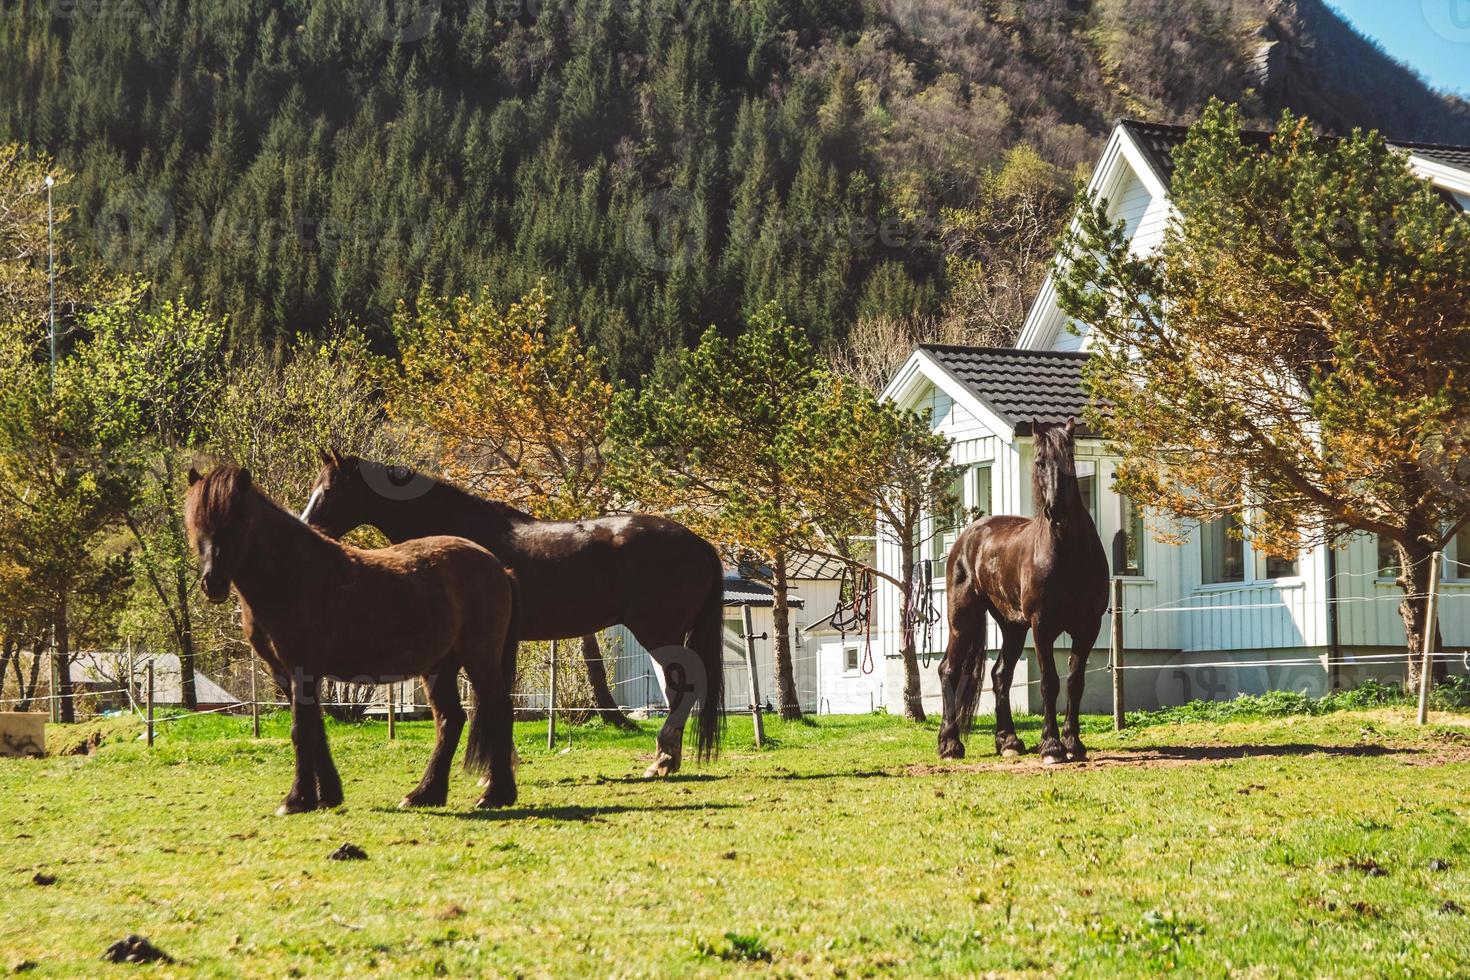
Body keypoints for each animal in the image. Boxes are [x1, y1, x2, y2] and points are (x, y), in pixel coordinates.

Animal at [186, 467, 523, 811]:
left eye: (237, 520)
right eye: (196, 523)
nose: (212, 583)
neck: (291, 574)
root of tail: (498, 566)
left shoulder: (301, 669)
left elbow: (302, 730)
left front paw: (297, 799)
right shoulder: (283, 672)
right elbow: (315, 729)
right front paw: (328, 794)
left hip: (479, 657)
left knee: (497, 710)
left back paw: (495, 794)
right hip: (440, 667)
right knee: (450, 720)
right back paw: (425, 794)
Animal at [301, 455, 726, 781]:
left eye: (329, 490)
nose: (307, 529)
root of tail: (699, 543)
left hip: (659, 633)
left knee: (684, 690)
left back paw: (663, 761)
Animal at [934, 417, 1105, 764]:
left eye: (1070, 459)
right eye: (1039, 461)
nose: (1056, 510)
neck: (1069, 555)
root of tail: (966, 538)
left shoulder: (1088, 627)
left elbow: (1075, 682)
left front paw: (1073, 743)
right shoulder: (1042, 626)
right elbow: (1050, 682)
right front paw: (1051, 746)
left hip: (1012, 627)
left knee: (1000, 674)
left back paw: (1008, 740)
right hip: (963, 619)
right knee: (949, 670)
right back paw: (950, 744)